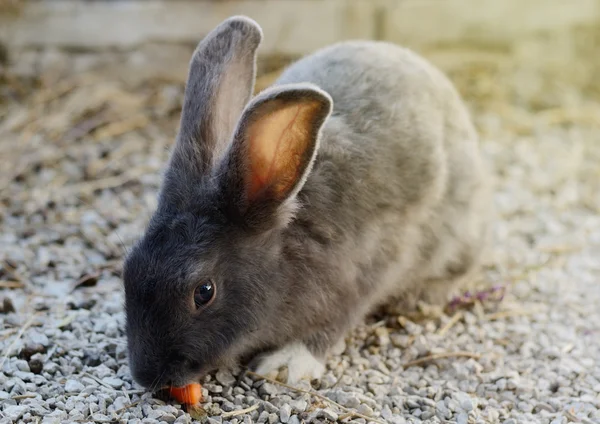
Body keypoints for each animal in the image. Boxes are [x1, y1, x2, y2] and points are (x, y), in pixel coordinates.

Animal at [123, 14, 492, 390]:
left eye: (204, 292)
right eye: (129, 268)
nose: (147, 376)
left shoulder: (363, 276)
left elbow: (330, 326)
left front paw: (285, 363)